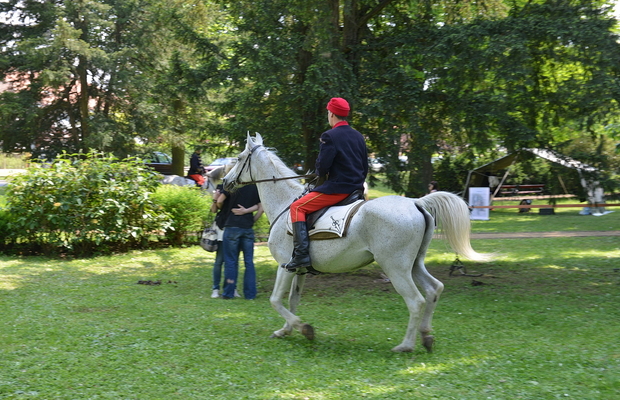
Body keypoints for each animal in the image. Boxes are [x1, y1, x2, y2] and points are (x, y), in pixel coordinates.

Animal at [222, 133, 491, 353]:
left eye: (239, 158)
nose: (224, 182)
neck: (285, 203)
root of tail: (416, 202)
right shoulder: (300, 269)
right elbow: (292, 300)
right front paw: (286, 330)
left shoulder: (284, 266)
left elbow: (276, 300)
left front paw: (304, 328)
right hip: (414, 264)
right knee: (434, 289)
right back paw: (426, 337)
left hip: (395, 268)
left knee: (416, 301)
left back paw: (405, 345)